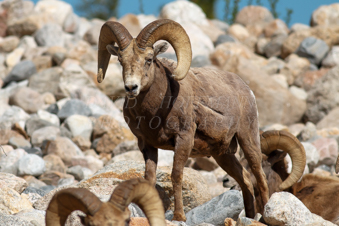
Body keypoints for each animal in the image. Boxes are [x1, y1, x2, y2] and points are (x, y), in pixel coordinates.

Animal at [97, 18, 304, 220]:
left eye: (149, 59)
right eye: (121, 61)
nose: (131, 87)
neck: (154, 112)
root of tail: (246, 89)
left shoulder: (184, 139)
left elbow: (176, 175)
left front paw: (179, 216)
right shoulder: (147, 145)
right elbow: (149, 179)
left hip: (249, 140)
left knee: (259, 178)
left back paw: (263, 216)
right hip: (223, 155)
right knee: (245, 180)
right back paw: (250, 216)